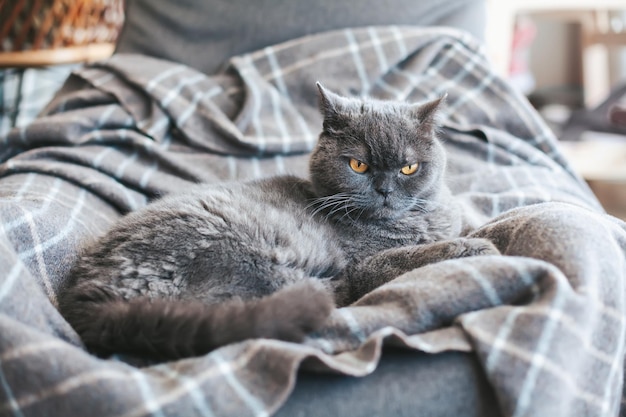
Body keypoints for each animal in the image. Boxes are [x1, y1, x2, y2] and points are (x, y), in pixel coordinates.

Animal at [58, 83, 498, 358]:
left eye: (409, 168)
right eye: (358, 165)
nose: (384, 190)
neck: (415, 221)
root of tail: (86, 299)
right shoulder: (366, 264)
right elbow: (414, 255)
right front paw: (479, 246)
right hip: (243, 255)